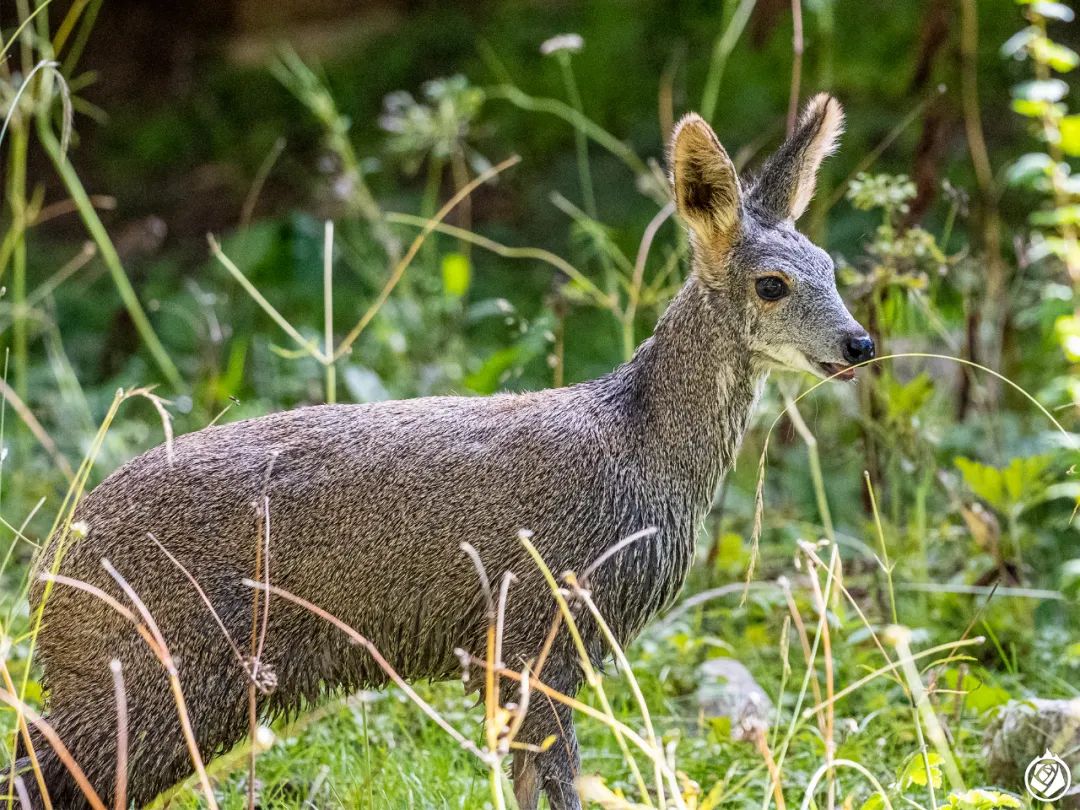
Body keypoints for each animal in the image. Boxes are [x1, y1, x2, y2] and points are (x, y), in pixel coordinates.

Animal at [16, 91, 872, 807]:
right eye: (771, 284)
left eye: (833, 268)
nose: (860, 344)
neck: (642, 448)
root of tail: (50, 564)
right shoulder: (537, 634)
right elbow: (560, 782)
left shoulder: (522, 655)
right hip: (161, 679)